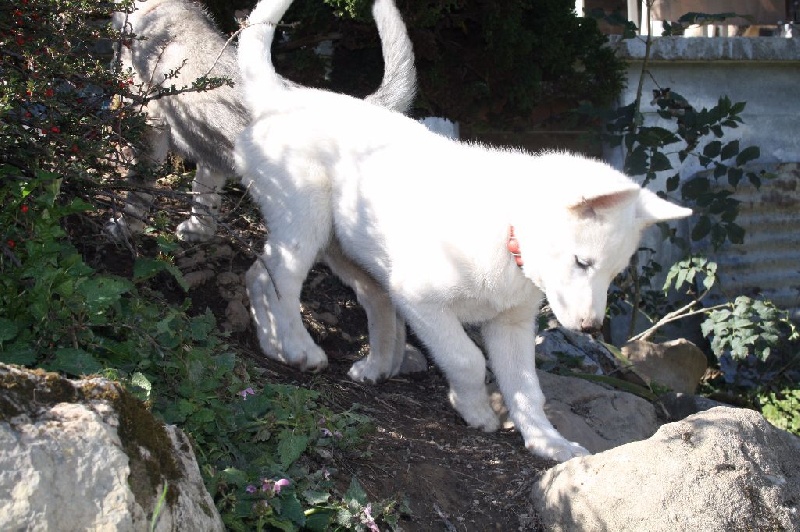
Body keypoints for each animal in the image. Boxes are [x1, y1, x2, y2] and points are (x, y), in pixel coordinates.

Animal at [108, 0, 416, 241]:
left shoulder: (151, 128)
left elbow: (138, 189)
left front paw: (123, 227)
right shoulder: (211, 156)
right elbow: (204, 195)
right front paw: (199, 230)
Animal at [234, 0, 692, 462]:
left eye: (613, 275)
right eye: (582, 262)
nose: (590, 329)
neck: (509, 237)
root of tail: (284, 98)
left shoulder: (511, 325)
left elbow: (527, 390)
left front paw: (549, 442)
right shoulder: (421, 300)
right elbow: (467, 359)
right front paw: (475, 411)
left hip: (348, 249)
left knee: (298, 283)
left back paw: (335, 357)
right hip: (304, 223)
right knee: (278, 280)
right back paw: (296, 347)